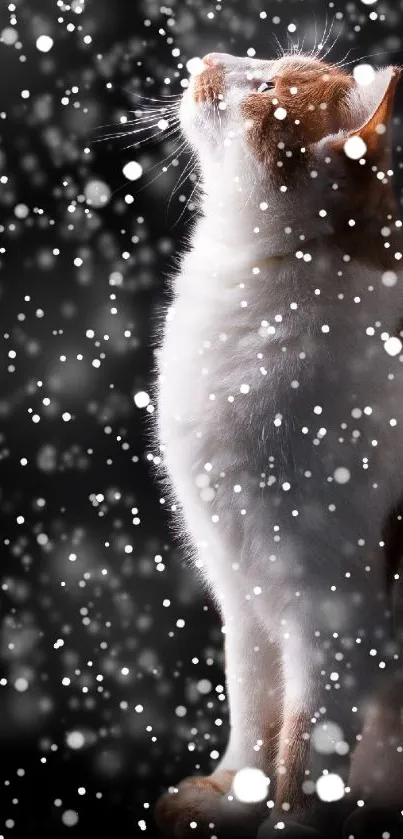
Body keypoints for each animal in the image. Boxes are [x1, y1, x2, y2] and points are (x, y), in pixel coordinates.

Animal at [152, 52, 403, 839]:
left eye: (265, 88)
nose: (206, 58)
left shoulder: (333, 613)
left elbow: (305, 742)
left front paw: (288, 822)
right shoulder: (239, 583)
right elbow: (252, 703)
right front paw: (230, 792)